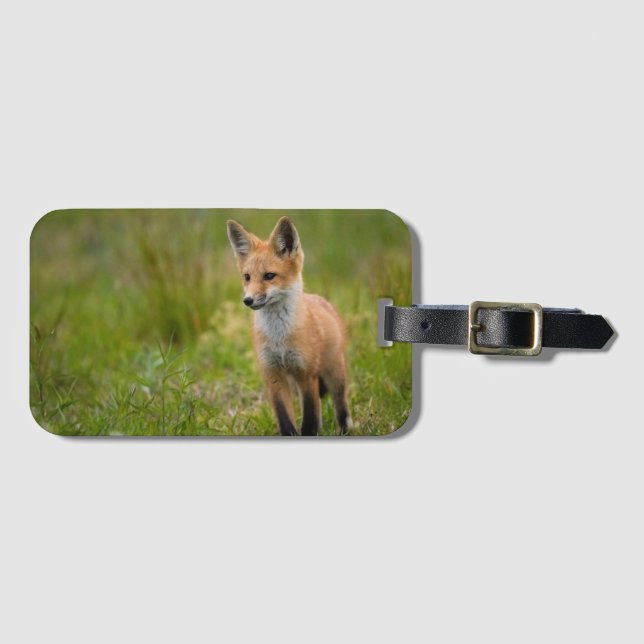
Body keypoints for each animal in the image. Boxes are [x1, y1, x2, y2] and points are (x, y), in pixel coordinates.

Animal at [226, 216, 353, 436]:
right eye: (247, 277)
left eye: (269, 276)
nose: (248, 300)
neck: (279, 338)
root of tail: (321, 300)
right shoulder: (273, 376)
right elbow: (286, 421)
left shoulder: (306, 374)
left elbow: (309, 421)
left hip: (334, 374)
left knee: (341, 406)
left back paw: (346, 429)